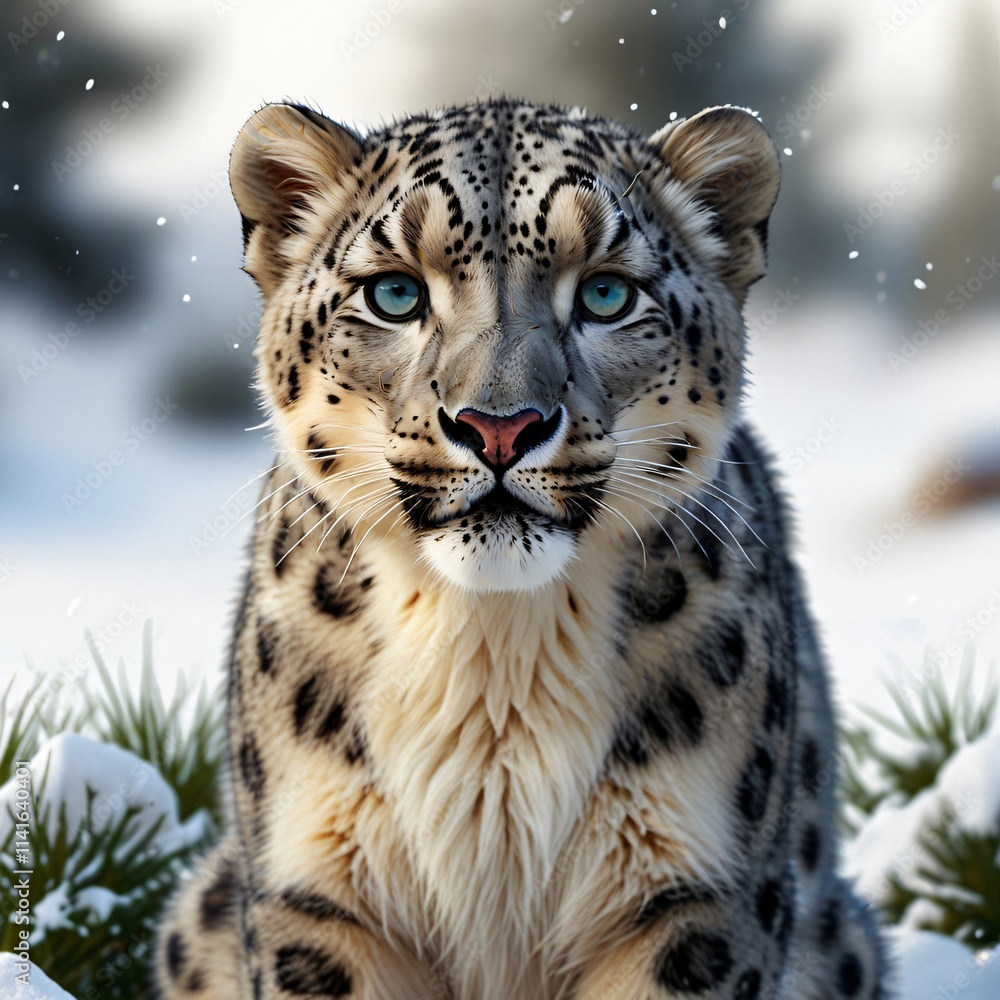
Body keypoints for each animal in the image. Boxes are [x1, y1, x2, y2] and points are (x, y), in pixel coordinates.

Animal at [155, 97, 890, 1000]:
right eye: (395, 292)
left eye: (607, 293)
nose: (499, 426)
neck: (492, 656)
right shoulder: (321, 898)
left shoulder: (694, 899)